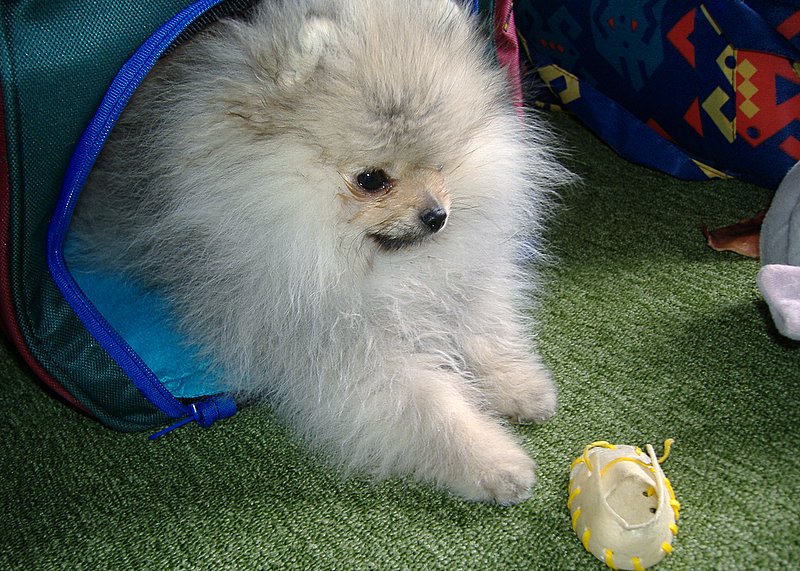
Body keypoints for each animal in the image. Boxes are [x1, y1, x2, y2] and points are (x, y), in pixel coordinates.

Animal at [73, 0, 572, 504]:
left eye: (439, 163)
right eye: (371, 179)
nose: (437, 216)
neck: (378, 267)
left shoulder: (459, 282)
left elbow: (484, 330)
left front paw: (520, 386)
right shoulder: (341, 350)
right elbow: (428, 408)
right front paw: (493, 461)